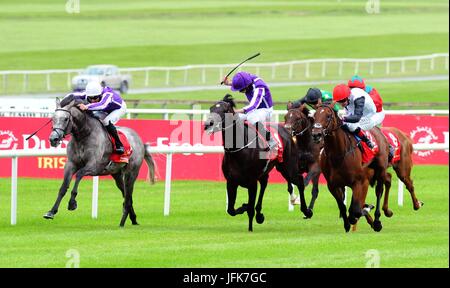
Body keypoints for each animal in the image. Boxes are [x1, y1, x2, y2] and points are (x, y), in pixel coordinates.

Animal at [44, 97, 156, 227]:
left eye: (66, 119)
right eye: (53, 118)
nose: (53, 139)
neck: (84, 135)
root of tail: (139, 140)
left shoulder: (94, 166)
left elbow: (79, 175)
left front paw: (72, 203)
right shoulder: (71, 164)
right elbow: (63, 187)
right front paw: (51, 212)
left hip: (131, 173)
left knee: (128, 197)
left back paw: (122, 223)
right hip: (117, 174)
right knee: (126, 195)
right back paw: (133, 218)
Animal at [205, 95, 312, 232]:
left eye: (224, 110)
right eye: (211, 109)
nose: (208, 124)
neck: (238, 150)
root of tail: (287, 130)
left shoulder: (251, 182)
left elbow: (249, 207)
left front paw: (250, 228)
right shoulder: (231, 181)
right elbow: (231, 210)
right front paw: (245, 208)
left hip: (288, 168)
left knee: (299, 181)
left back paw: (306, 210)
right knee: (264, 184)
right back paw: (260, 214)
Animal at [312, 103, 392, 232]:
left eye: (328, 116)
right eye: (314, 115)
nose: (316, 134)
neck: (338, 154)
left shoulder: (359, 182)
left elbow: (356, 210)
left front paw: (367, 209)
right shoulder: (333, 185)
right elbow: (343, 207)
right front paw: (347, 224)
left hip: (380, 170)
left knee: (379, 191)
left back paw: (377, 221)